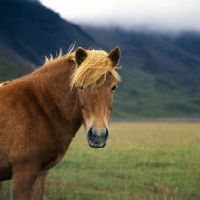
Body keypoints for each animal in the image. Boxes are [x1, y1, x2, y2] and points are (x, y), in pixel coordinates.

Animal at [0, 46, 120, 199]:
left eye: (113, 87)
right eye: (80, 87)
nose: (98, 135)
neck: (39, 106)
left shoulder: (40, 174)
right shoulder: (23, 173)